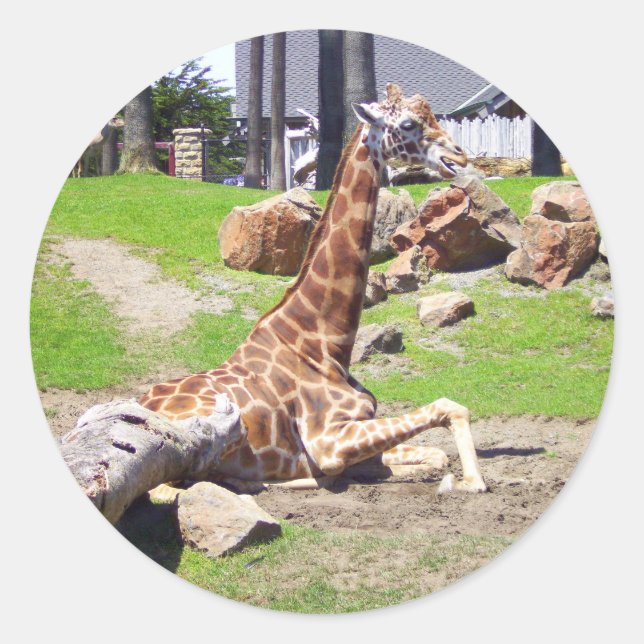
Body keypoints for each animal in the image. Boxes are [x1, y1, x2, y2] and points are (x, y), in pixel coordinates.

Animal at [140, 83, 486, 494]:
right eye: (407, 123)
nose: (459, 154)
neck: (327, 343)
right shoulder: (328, 441)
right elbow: (449, 407)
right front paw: (468, 482)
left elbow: (435, 453)